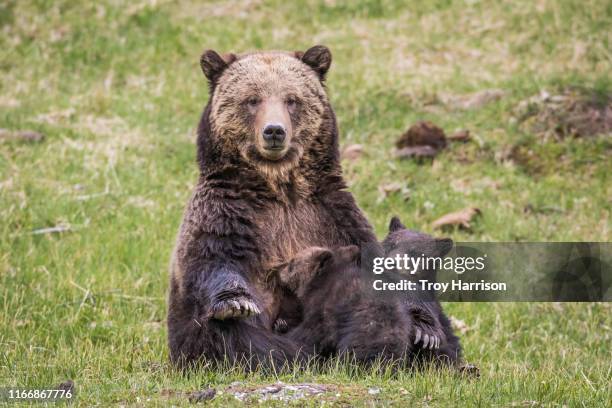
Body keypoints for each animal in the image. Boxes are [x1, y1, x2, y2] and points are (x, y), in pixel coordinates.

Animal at [167, 46, 378, 368]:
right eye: (252, 99)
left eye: (292, 99)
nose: (274, 131)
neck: (279, 188)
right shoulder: (227, 213)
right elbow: (211, 258)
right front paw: (237, 302)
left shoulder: (331, 214)